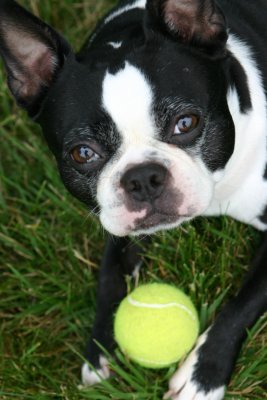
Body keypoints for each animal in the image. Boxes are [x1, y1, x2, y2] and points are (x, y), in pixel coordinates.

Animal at [0, 0, 267, 398]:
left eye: (186, 123)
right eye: (83, 153)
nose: (142, 178)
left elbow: (242, 303)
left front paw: (202, 375)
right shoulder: (113, 220)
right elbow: (109, 278)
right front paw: (100, 349)